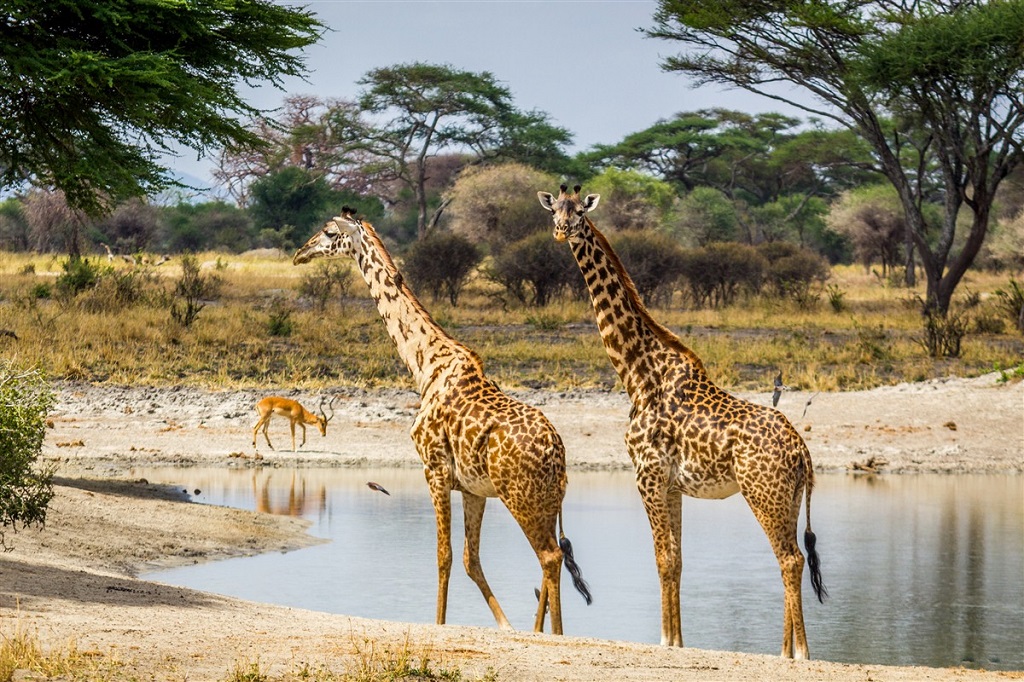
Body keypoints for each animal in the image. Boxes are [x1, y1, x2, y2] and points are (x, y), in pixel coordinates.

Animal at [292, 205, 593, 630]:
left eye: (329, 231)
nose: (300, 253)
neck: (425, 365)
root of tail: (557, 452)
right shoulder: (471, 488)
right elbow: (470, 559)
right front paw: (504, 625)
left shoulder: (433, 470)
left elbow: (444, 557)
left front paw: (439, 623)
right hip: (547, 500)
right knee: (551, 556)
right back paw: (539, 630)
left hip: (520, 496)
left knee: (549, 556)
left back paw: (550, 634)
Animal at [536, 183, 823, 655]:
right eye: (554, 211)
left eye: (579, 212)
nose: (561, 231)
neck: (637, 373)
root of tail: (802, 451)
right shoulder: (672, 485)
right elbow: (678, 560)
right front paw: (678, 639)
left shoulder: (647, 475)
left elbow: (663, 557)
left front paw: (666, 640)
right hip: (791, 496)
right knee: (790, 557)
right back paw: (784, 650)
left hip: (764, 492)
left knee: (791, 558)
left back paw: (799, 653)